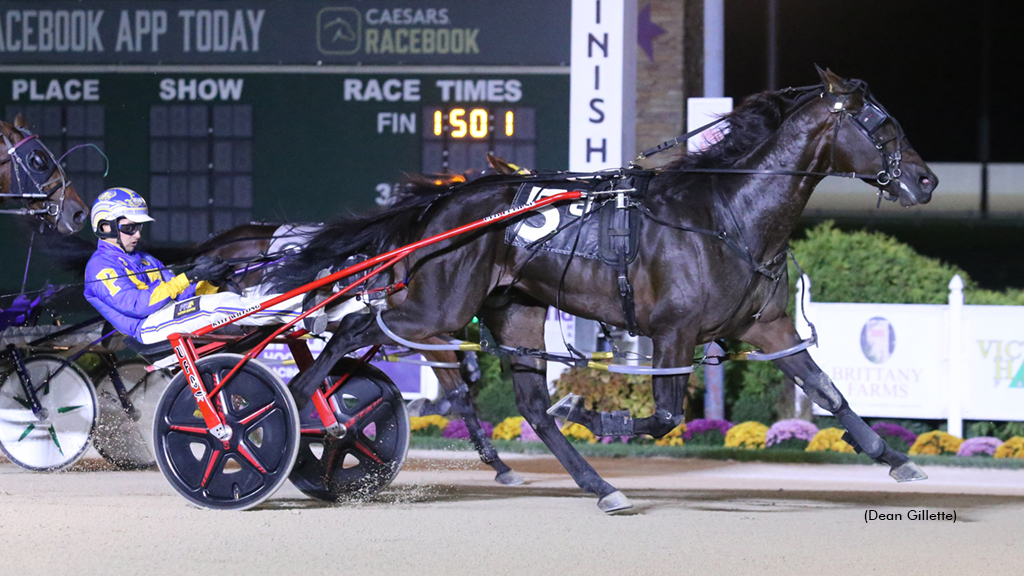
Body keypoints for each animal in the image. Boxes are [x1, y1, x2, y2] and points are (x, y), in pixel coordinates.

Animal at [270, 67, 937, 510]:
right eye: (882, 124)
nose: (927, 180)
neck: (728, 214)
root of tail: (443, 202)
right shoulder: (673, 332)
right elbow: (662, 418)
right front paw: (594, 414)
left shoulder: (767, 327)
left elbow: (828, 391)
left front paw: (895, 459)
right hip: (437, 302)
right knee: (353, 325)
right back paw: (299, 401)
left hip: (515, 308)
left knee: (531, 406)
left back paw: (601, 485)